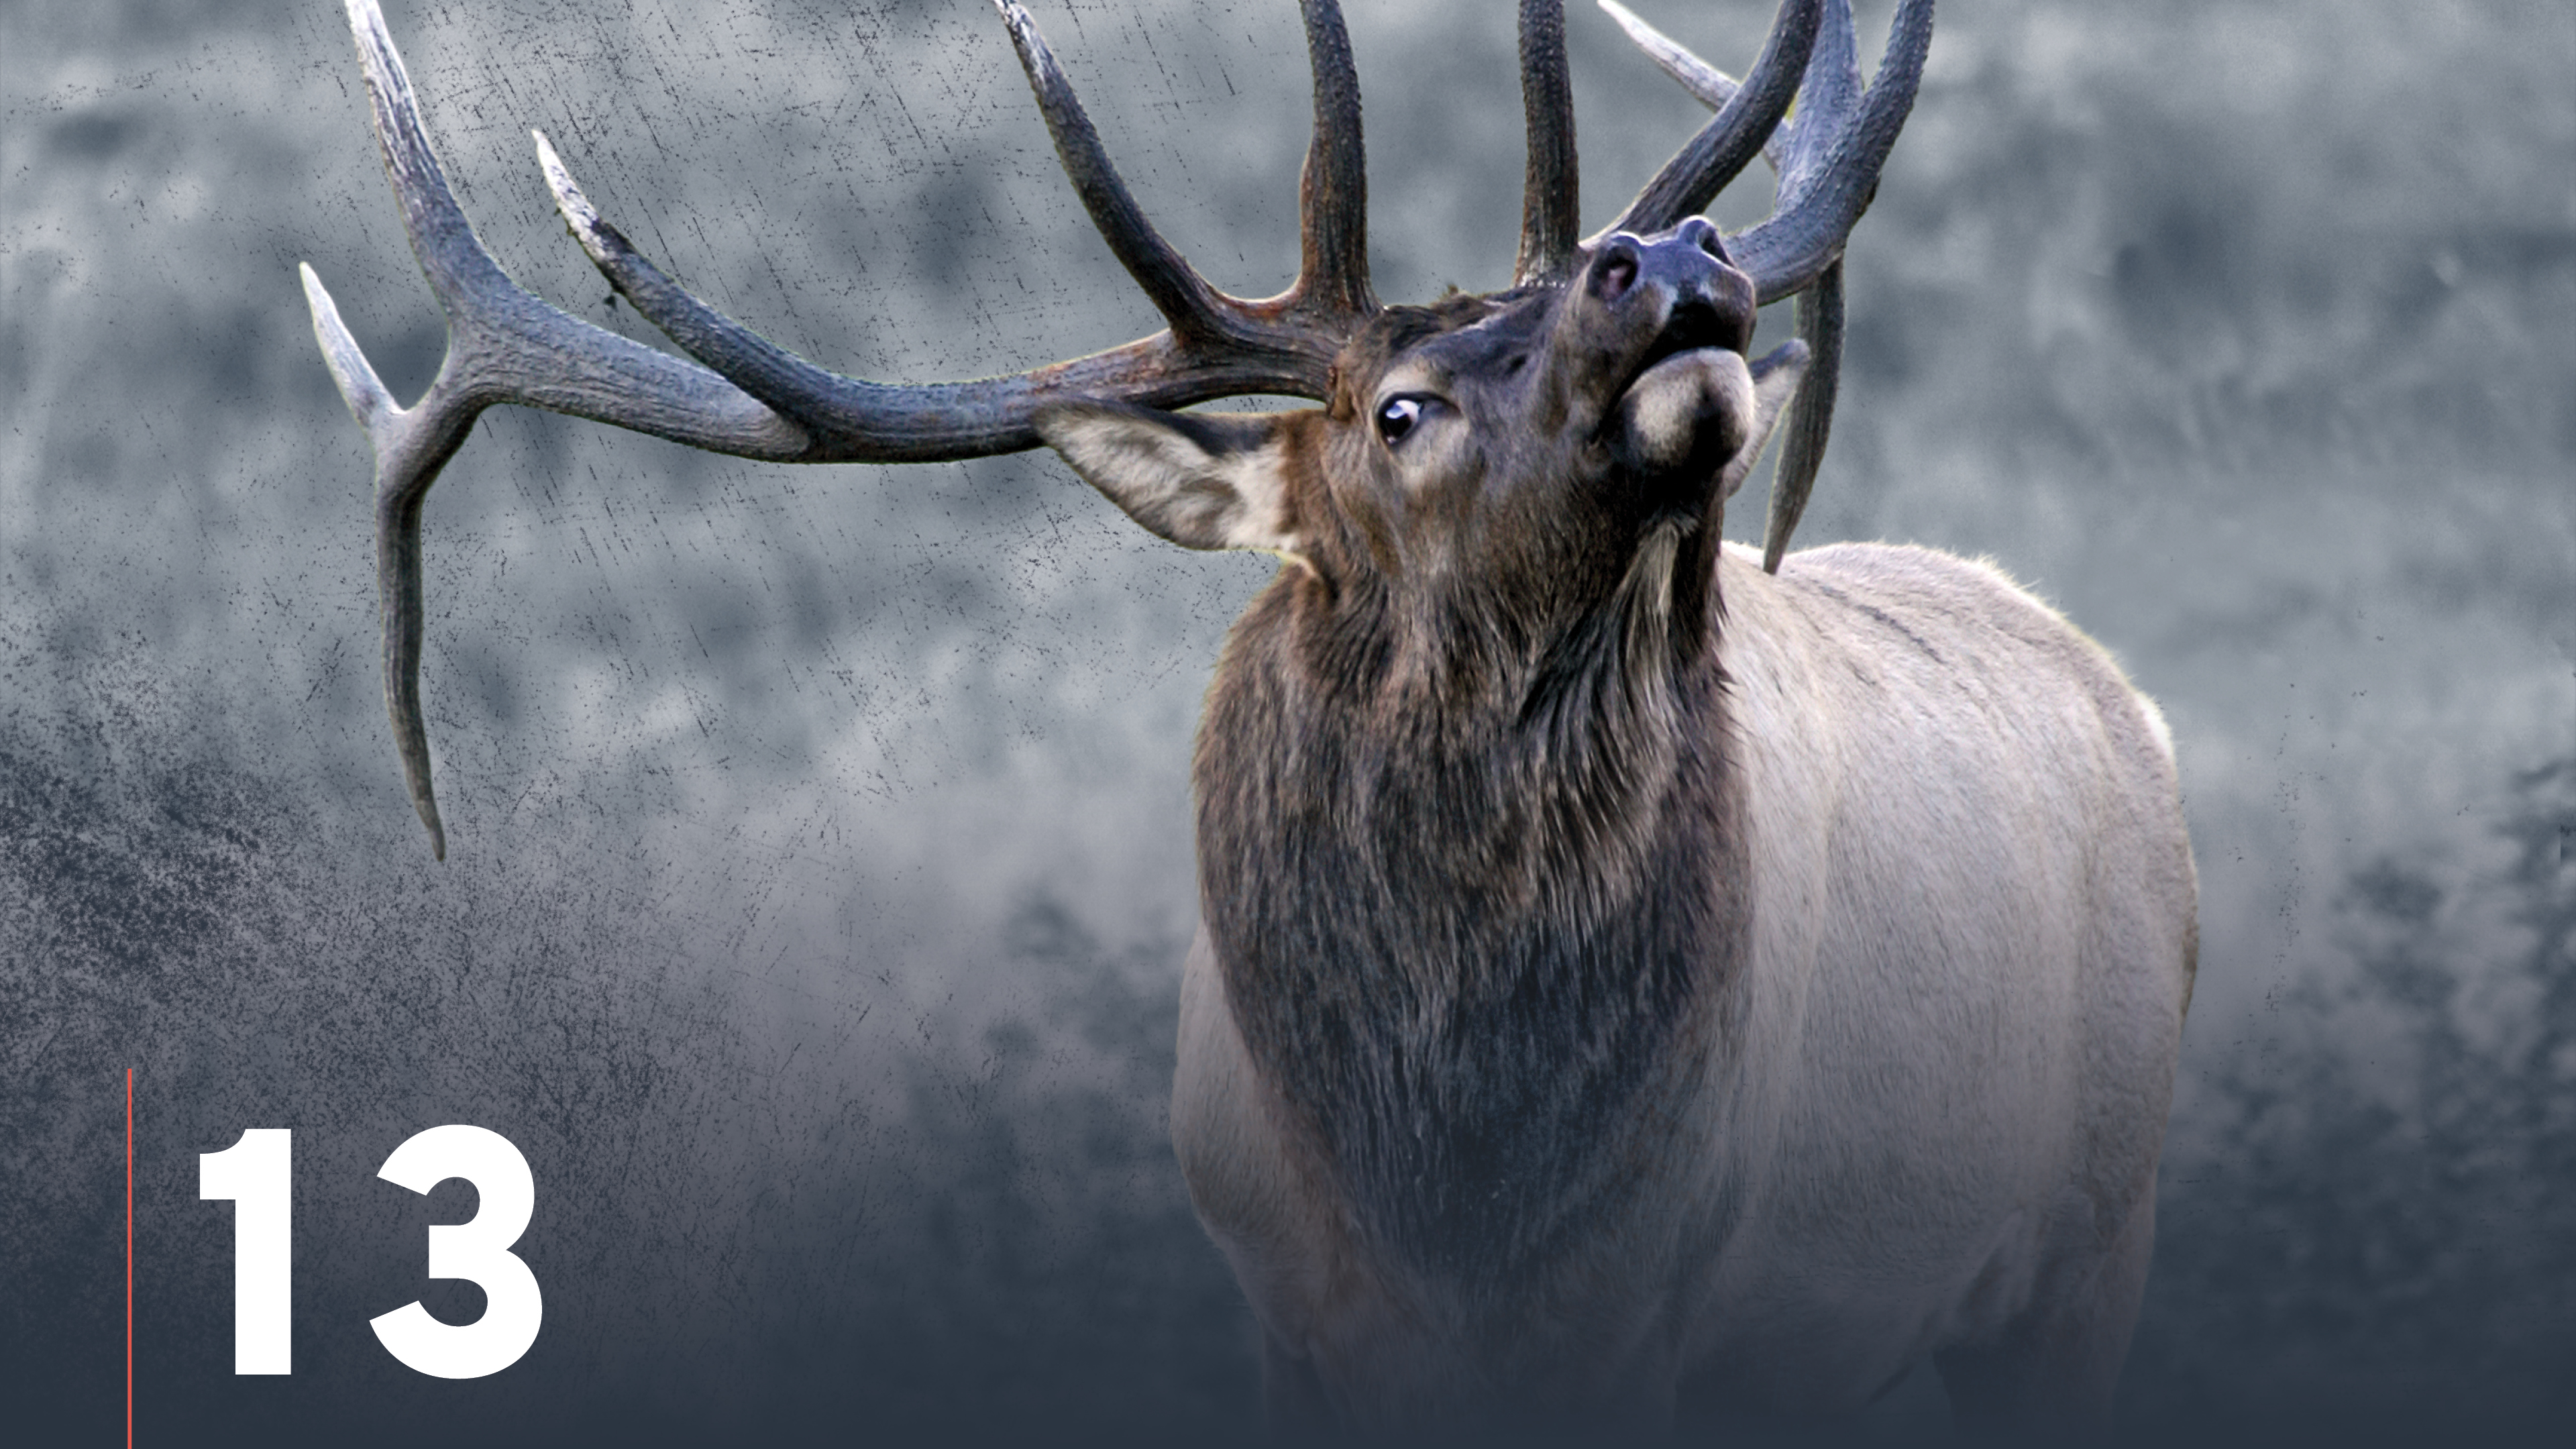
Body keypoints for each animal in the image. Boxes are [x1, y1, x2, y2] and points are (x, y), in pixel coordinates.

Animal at [301, 0, 2197, 1435]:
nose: (1662, 250)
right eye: (1399, 408)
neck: (1450, 1181)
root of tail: (2117, 695)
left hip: (2086, 1235)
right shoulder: (1291, 1302)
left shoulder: (1666, 1290)